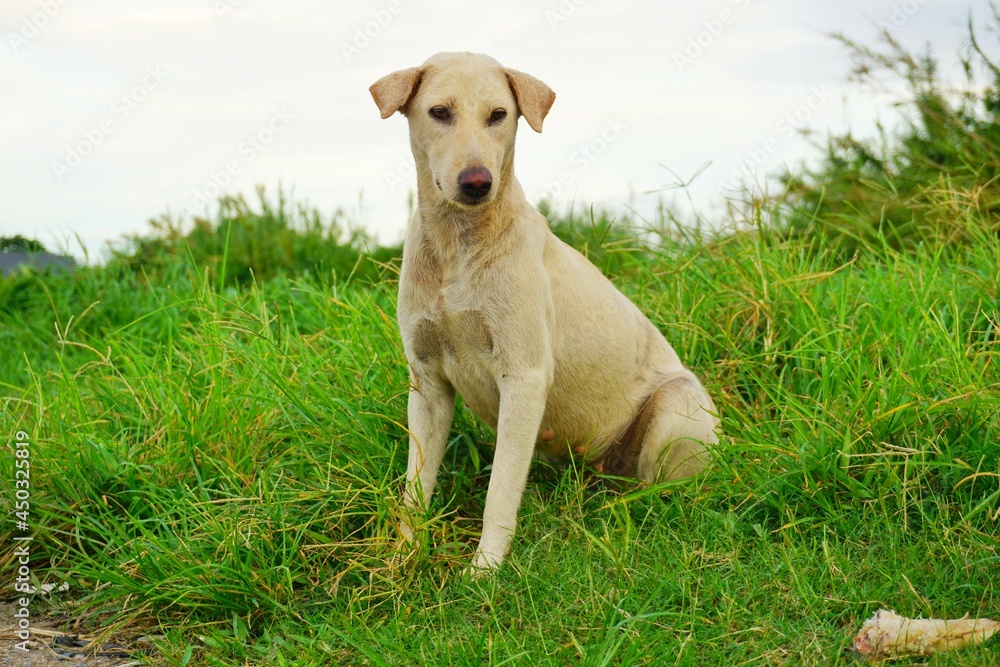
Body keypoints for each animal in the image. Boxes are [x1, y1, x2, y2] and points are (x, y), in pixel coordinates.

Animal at [370, 52, 720, 576]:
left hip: (676, 404)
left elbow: (499, 491)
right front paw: (404, 559)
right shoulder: (427, 383)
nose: (477, 182)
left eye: (498, 115)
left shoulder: (524, 376)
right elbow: (415, 490)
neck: (458, 246)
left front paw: (484, 571)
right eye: (439, 112)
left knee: (671, 494)